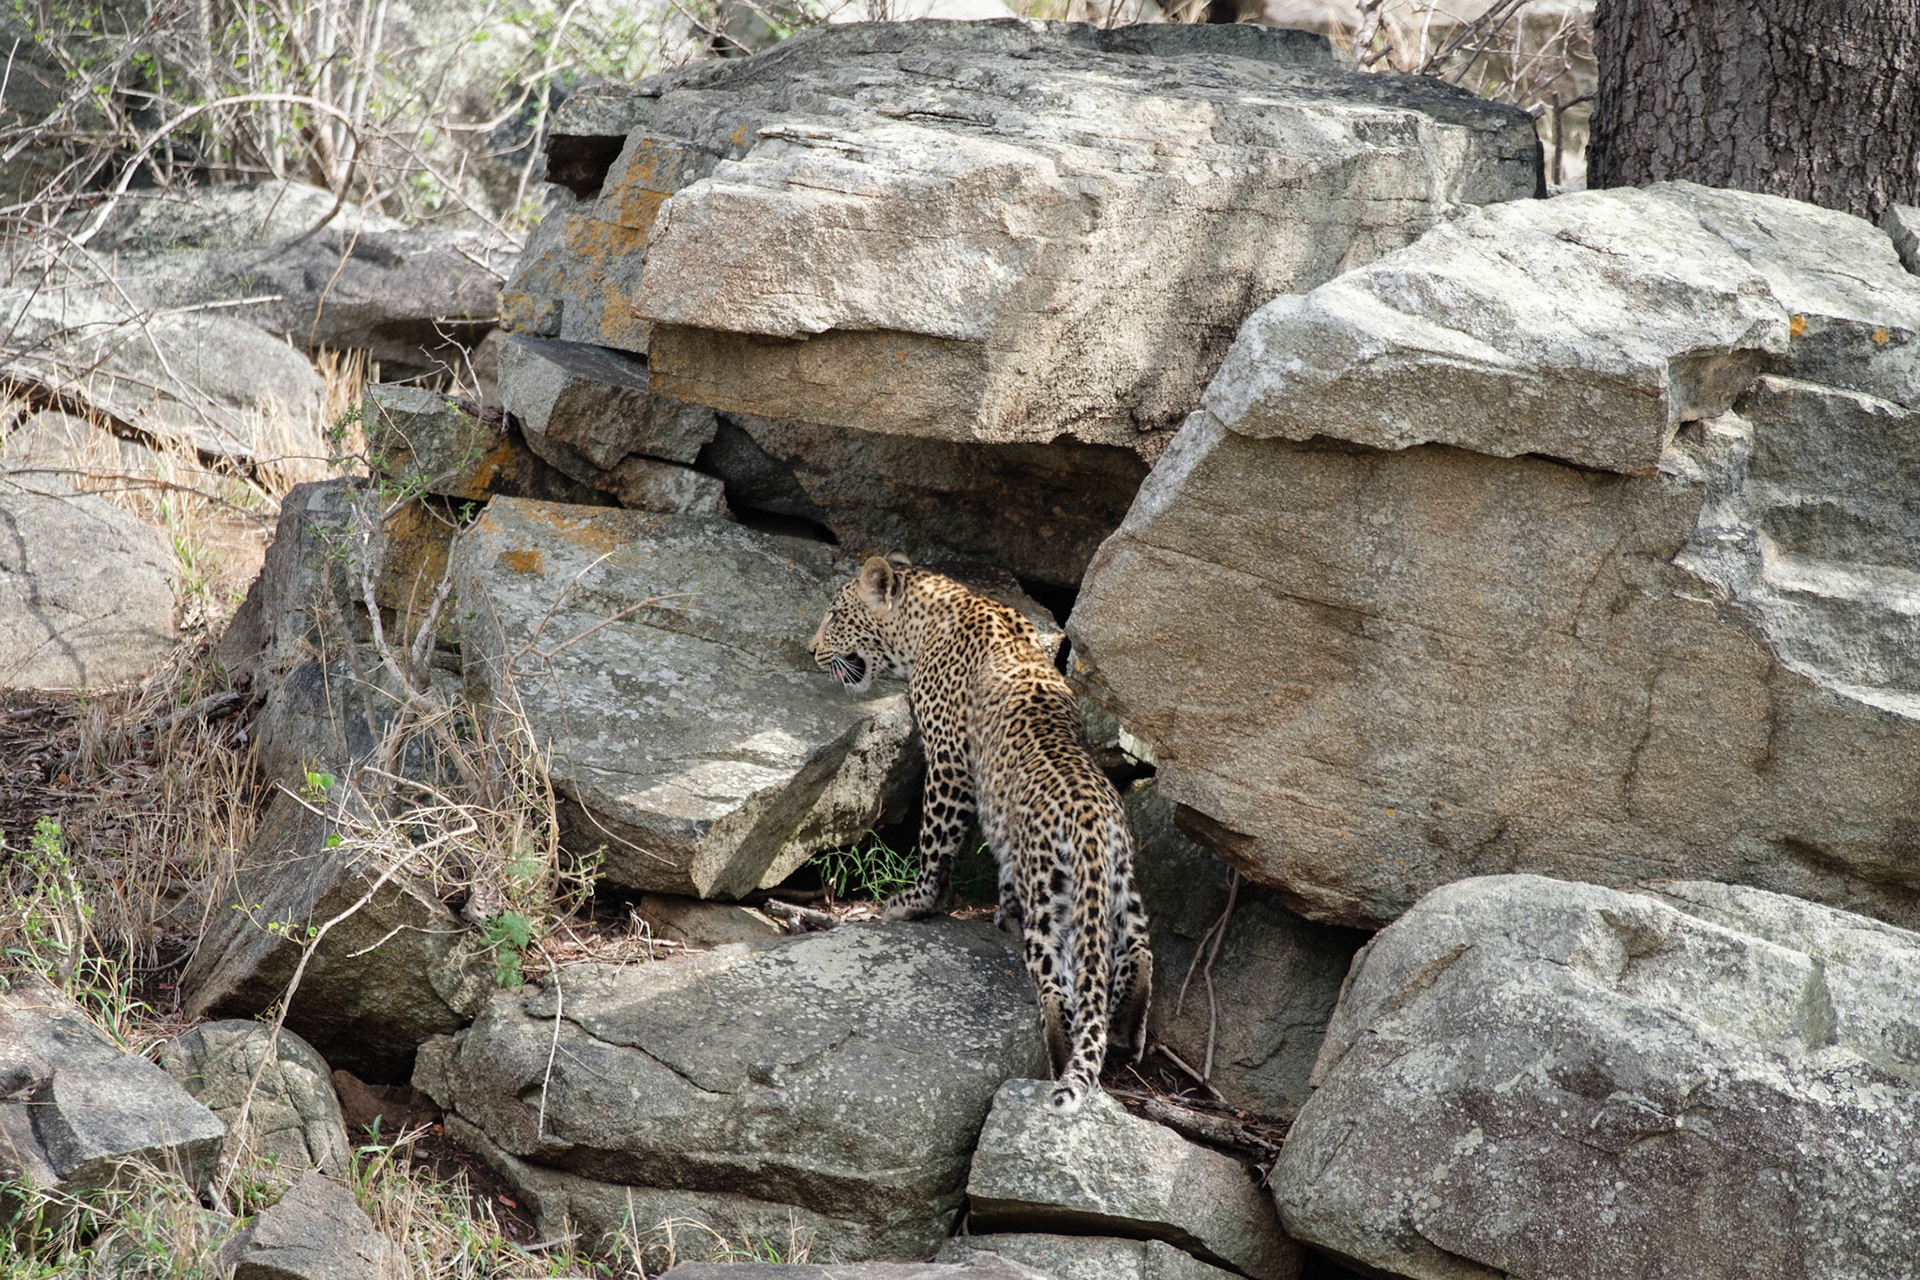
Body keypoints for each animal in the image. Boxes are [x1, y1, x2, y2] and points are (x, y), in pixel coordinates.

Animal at [808, 552, 1152, 1113]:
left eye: (836, 616)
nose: (812, 650)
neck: (925, 623)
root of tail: (1088, 816)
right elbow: (1000, 860)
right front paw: (1000, 911)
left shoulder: (948, 758)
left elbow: (935, 840)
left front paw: (916, 903)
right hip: (1119, 879)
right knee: (1140, 948)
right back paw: (1127, 1028)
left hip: (1051, 896)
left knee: (1056, 988)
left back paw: (1057, 1068)